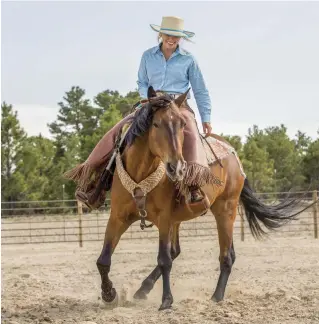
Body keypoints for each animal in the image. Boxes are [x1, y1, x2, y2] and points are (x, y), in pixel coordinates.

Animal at [96, 87, 304, 310]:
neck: (141, 174)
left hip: (225, 209)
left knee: (226, 255)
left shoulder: (163, 219)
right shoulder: (118, 217)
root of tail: (233, 154)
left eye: (182, 125)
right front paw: (109, 294)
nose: (176, 167)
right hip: (181, 219)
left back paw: (216, 296)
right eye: (156, 123)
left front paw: (166, 300)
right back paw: (142, 289)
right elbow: (104, 259)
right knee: (178, 250)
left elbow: (164, 259)